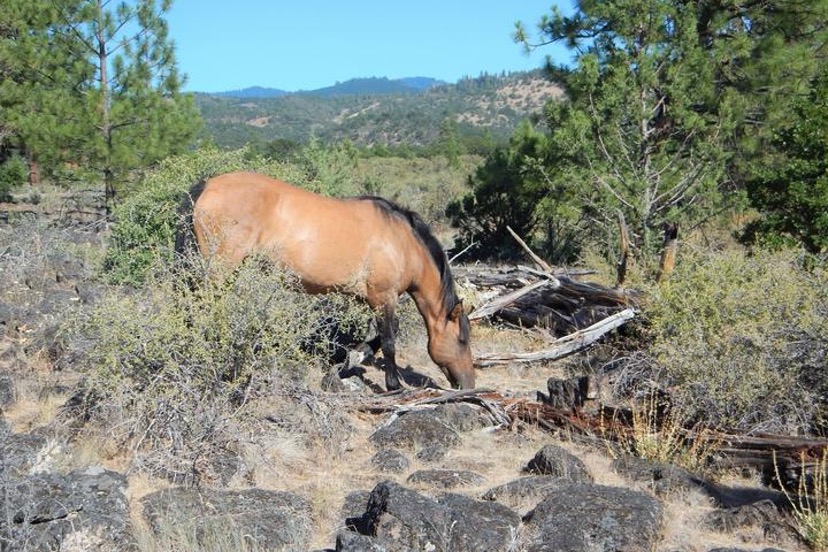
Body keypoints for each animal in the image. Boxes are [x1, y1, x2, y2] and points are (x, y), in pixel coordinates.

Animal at [175, 170, 472, 390]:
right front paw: (393, 384)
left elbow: (375, 338)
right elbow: (389, 339)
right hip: (218, 272)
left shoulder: (367, 298)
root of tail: (207, 185)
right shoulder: (383, 297)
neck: (402, 241)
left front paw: (350, 361)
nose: (469, 384)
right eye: (462, 340)